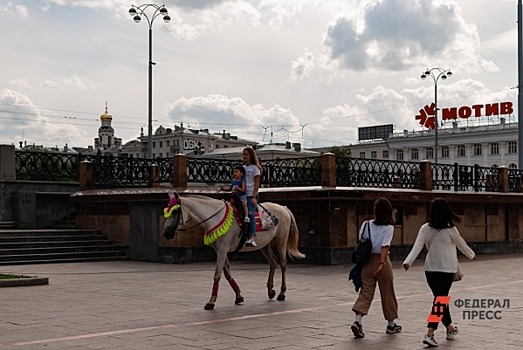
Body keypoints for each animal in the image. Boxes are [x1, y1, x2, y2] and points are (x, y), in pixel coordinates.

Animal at [162, 191, 304, 308]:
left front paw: (211, 301)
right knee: (273, 262)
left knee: (283, 264)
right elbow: (227, 273)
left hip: (281, 240)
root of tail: (283, 208)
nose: (166, 233)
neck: (215, 217)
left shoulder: (222, 250)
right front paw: (239, 296)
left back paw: (282, 292)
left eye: (175, 212)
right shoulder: (220, 250)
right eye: (166, 211)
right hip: (264, 244)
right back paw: (270, 291)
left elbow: (217, 275)